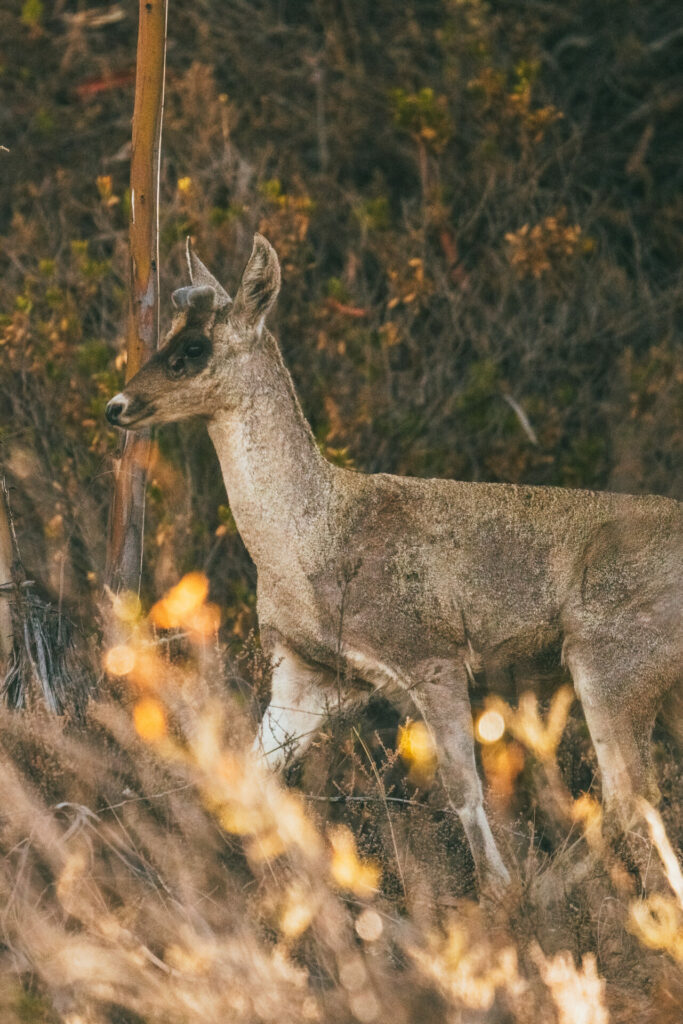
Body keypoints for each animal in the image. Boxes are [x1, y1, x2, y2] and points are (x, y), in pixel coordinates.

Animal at [104, 234, 679, 897]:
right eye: (168, 334)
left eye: (193, 348)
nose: (116, 405)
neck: (313, 541)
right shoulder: (305, 673)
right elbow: (249, 775)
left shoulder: (431, 654)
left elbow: (464, 792)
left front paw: (499, 894)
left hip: (615, 659)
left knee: (629, 799)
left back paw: (543, 895)